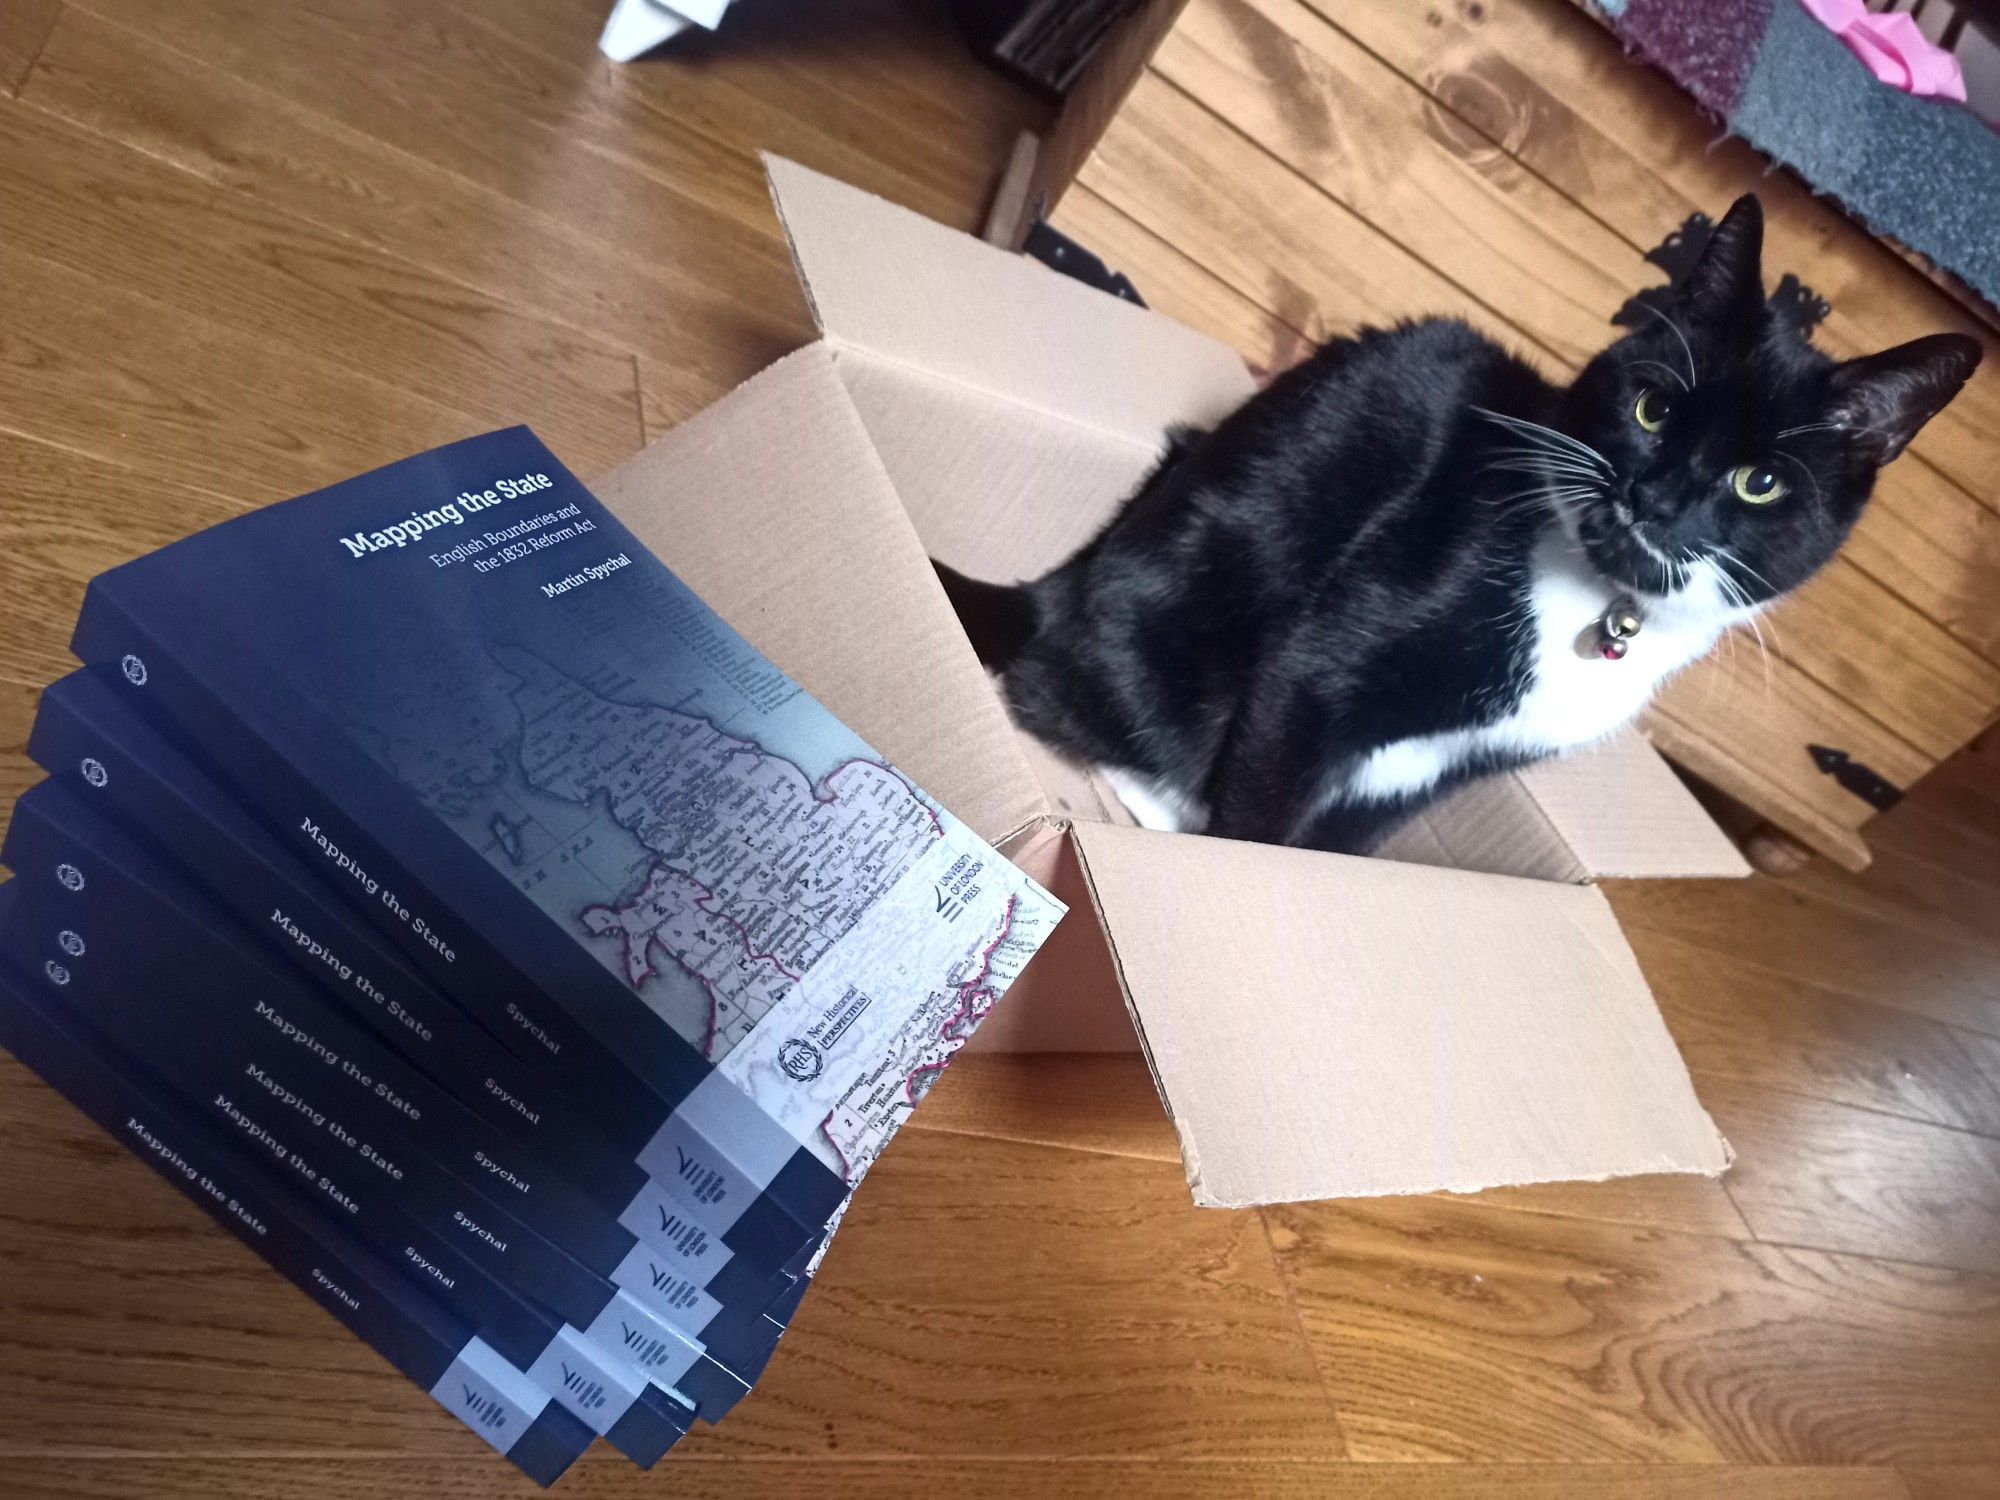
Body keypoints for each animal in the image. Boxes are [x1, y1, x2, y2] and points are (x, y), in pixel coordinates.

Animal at [940, 198, 1984, 852]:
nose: (1657, 496)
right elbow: (1259, 823)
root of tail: (1054, 589)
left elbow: (1332, 843)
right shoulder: (1321, 664)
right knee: (1080, 707)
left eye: (1761, 483)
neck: (1602, 610)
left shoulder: (1434, 772)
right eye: (1652, 409)